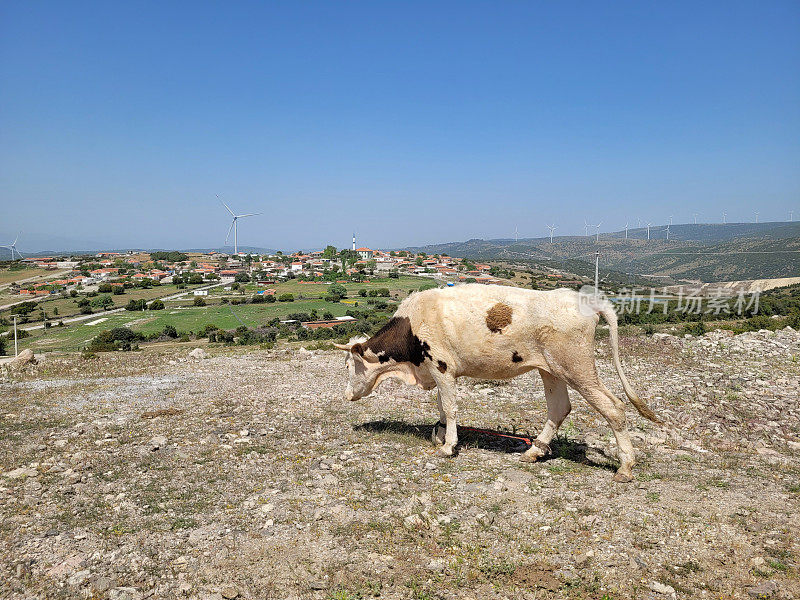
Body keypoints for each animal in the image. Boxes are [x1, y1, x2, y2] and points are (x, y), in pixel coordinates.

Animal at [334, 284, 660, 480]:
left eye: (349, 365)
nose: (346, 395)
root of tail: (584, 299)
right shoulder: (438, 371)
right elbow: (442, 406)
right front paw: (440, 433)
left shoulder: (441, 366)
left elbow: (450, 407)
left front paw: (448, 446)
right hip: (551, 370)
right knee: (559, 408)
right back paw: (534, 451)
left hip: (577, 368)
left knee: (614, 408)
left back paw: (625, 467)